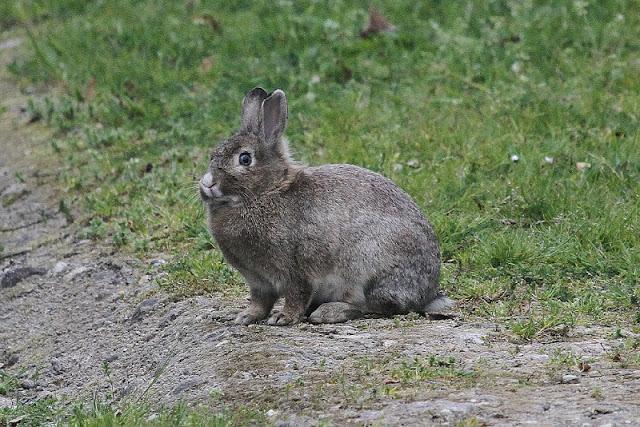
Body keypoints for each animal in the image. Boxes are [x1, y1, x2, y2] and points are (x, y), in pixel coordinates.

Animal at [198, 88, 452, 328]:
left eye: (245, 159)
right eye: (213, 155)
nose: (207, 183)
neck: (267, 192)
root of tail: (426, 293)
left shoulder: (295, 270)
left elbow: (296, 295)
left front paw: (283, 318)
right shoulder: (258, 281)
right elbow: (260, 302)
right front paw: (245, 317)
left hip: (368, 268)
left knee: (374, 306)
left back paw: (329, 312)